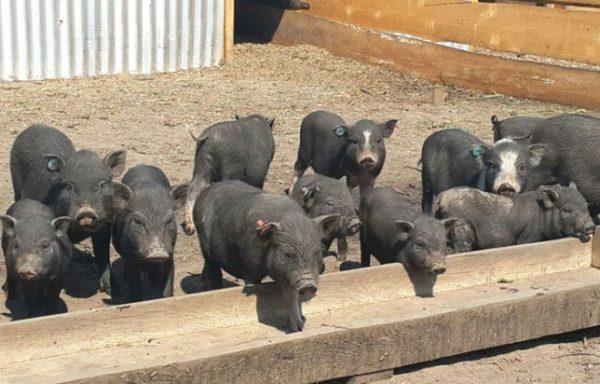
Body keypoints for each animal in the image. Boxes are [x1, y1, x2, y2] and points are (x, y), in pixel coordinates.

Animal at [9, 123, 129, 294]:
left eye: (102, 184)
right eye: (68, 185)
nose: (86, 211)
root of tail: (35, 126)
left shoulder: (105, 225)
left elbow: (102, 255)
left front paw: (114, 291)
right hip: (16, 185)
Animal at [112, 165, 188, 304]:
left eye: (170, 220)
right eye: (137, 221)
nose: (158, 252)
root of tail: (142, 165)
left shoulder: (170, 252)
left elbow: (168, 282)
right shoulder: (130, 255)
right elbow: (134, 283)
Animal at [195, 182, 340, 332]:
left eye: (317, 252)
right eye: (287, 253)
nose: (308, 285)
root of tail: (207, 190)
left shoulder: (286, 275)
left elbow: (291, 295)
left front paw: (300, 325)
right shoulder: (250, 269)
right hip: (205, 246)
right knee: (212, 269)